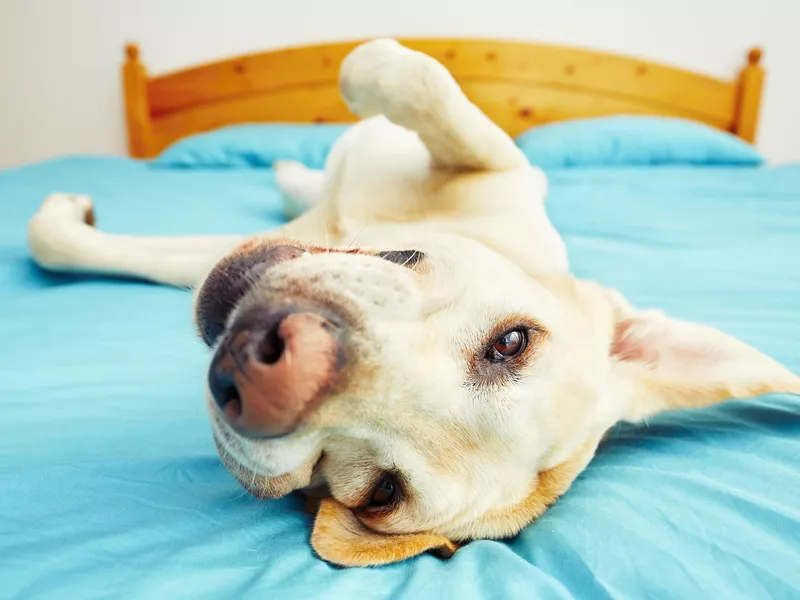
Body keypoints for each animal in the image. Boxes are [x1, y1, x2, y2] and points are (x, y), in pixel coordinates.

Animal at [25, 39, 800, 564]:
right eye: (512, 342)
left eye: (380, 495)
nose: (269, 368)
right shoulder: (492, 166)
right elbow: (414, 75)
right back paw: (294, 165)